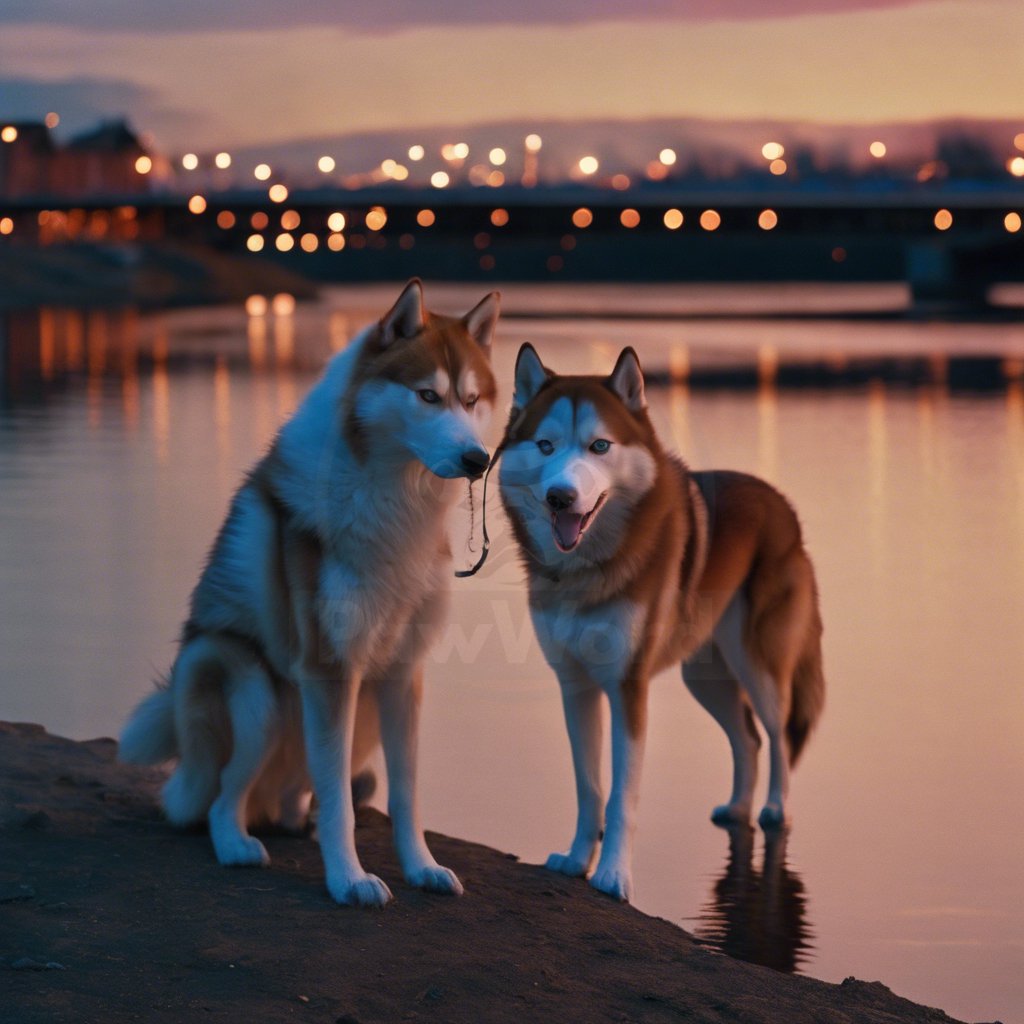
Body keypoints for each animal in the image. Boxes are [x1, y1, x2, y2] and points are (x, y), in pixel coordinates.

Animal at [119, 278, 499, 905]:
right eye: (427, 396)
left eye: (470, 401)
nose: (477, 459)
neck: (394, 500)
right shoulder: (329, 667)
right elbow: (340, 799)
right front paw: (348, 879)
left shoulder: (402, 673)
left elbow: (406, 794)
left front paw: (421, 867)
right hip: (248, 687)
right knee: (222, 796)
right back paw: (237, 843)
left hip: (358, 715)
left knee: (303, 791)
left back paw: (296, 818)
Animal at [499, 346, 827, 905]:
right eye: (545, 445)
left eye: (599, 445)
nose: (561, 497)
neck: (585, 571)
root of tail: (782, 504)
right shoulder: (575, 685)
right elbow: (589, 789)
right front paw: (577, 861)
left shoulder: (628, 688)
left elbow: (621, 798)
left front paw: (613, 876)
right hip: (705, 678)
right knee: (749, 740)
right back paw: (737, 809)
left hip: (759, 667)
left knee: (778, 735)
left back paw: (774, 810)